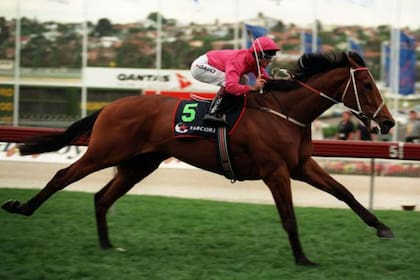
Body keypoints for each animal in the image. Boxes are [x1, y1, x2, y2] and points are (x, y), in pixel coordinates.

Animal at [1, 51, 394, 266]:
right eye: (368, 86)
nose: (389, 122)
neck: (284, 112)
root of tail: (110, 106)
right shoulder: (276, 171)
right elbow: (289, 217)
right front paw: (302, 258)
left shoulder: (301, 166)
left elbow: (345, 192)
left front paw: (382, 227)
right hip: (104, 151)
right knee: (63, 177)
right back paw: (21, 207)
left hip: (139, 163)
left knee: (102, 197)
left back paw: (107, 245)